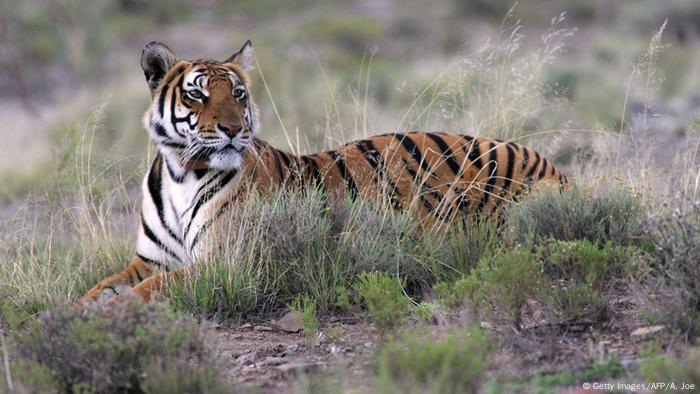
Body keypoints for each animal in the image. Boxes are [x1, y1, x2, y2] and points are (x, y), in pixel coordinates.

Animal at [78, 40, 568, 304]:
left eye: (237, 93)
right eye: (197, 95)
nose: (234, 129)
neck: (183, 171)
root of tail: (547, 161)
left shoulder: (227, 262)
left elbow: (152, 289)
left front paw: (112, 312)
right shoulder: (148, 260)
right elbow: (105, 285)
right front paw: (78, 309)